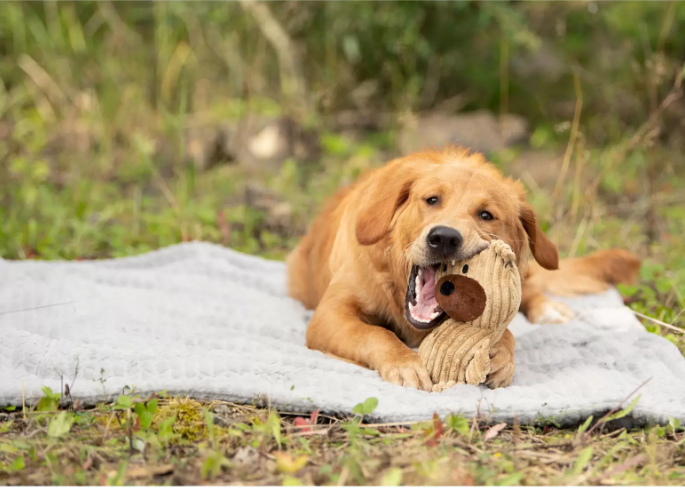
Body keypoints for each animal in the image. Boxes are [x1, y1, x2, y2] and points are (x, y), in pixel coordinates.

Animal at [286, 147, 640, 390]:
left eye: (485, 215)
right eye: (431, 200)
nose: (444, 237)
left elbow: (507, 332)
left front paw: (502, 356)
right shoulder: (328, 316)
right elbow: (375, 334)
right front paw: (403, 362)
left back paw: (548, 309)